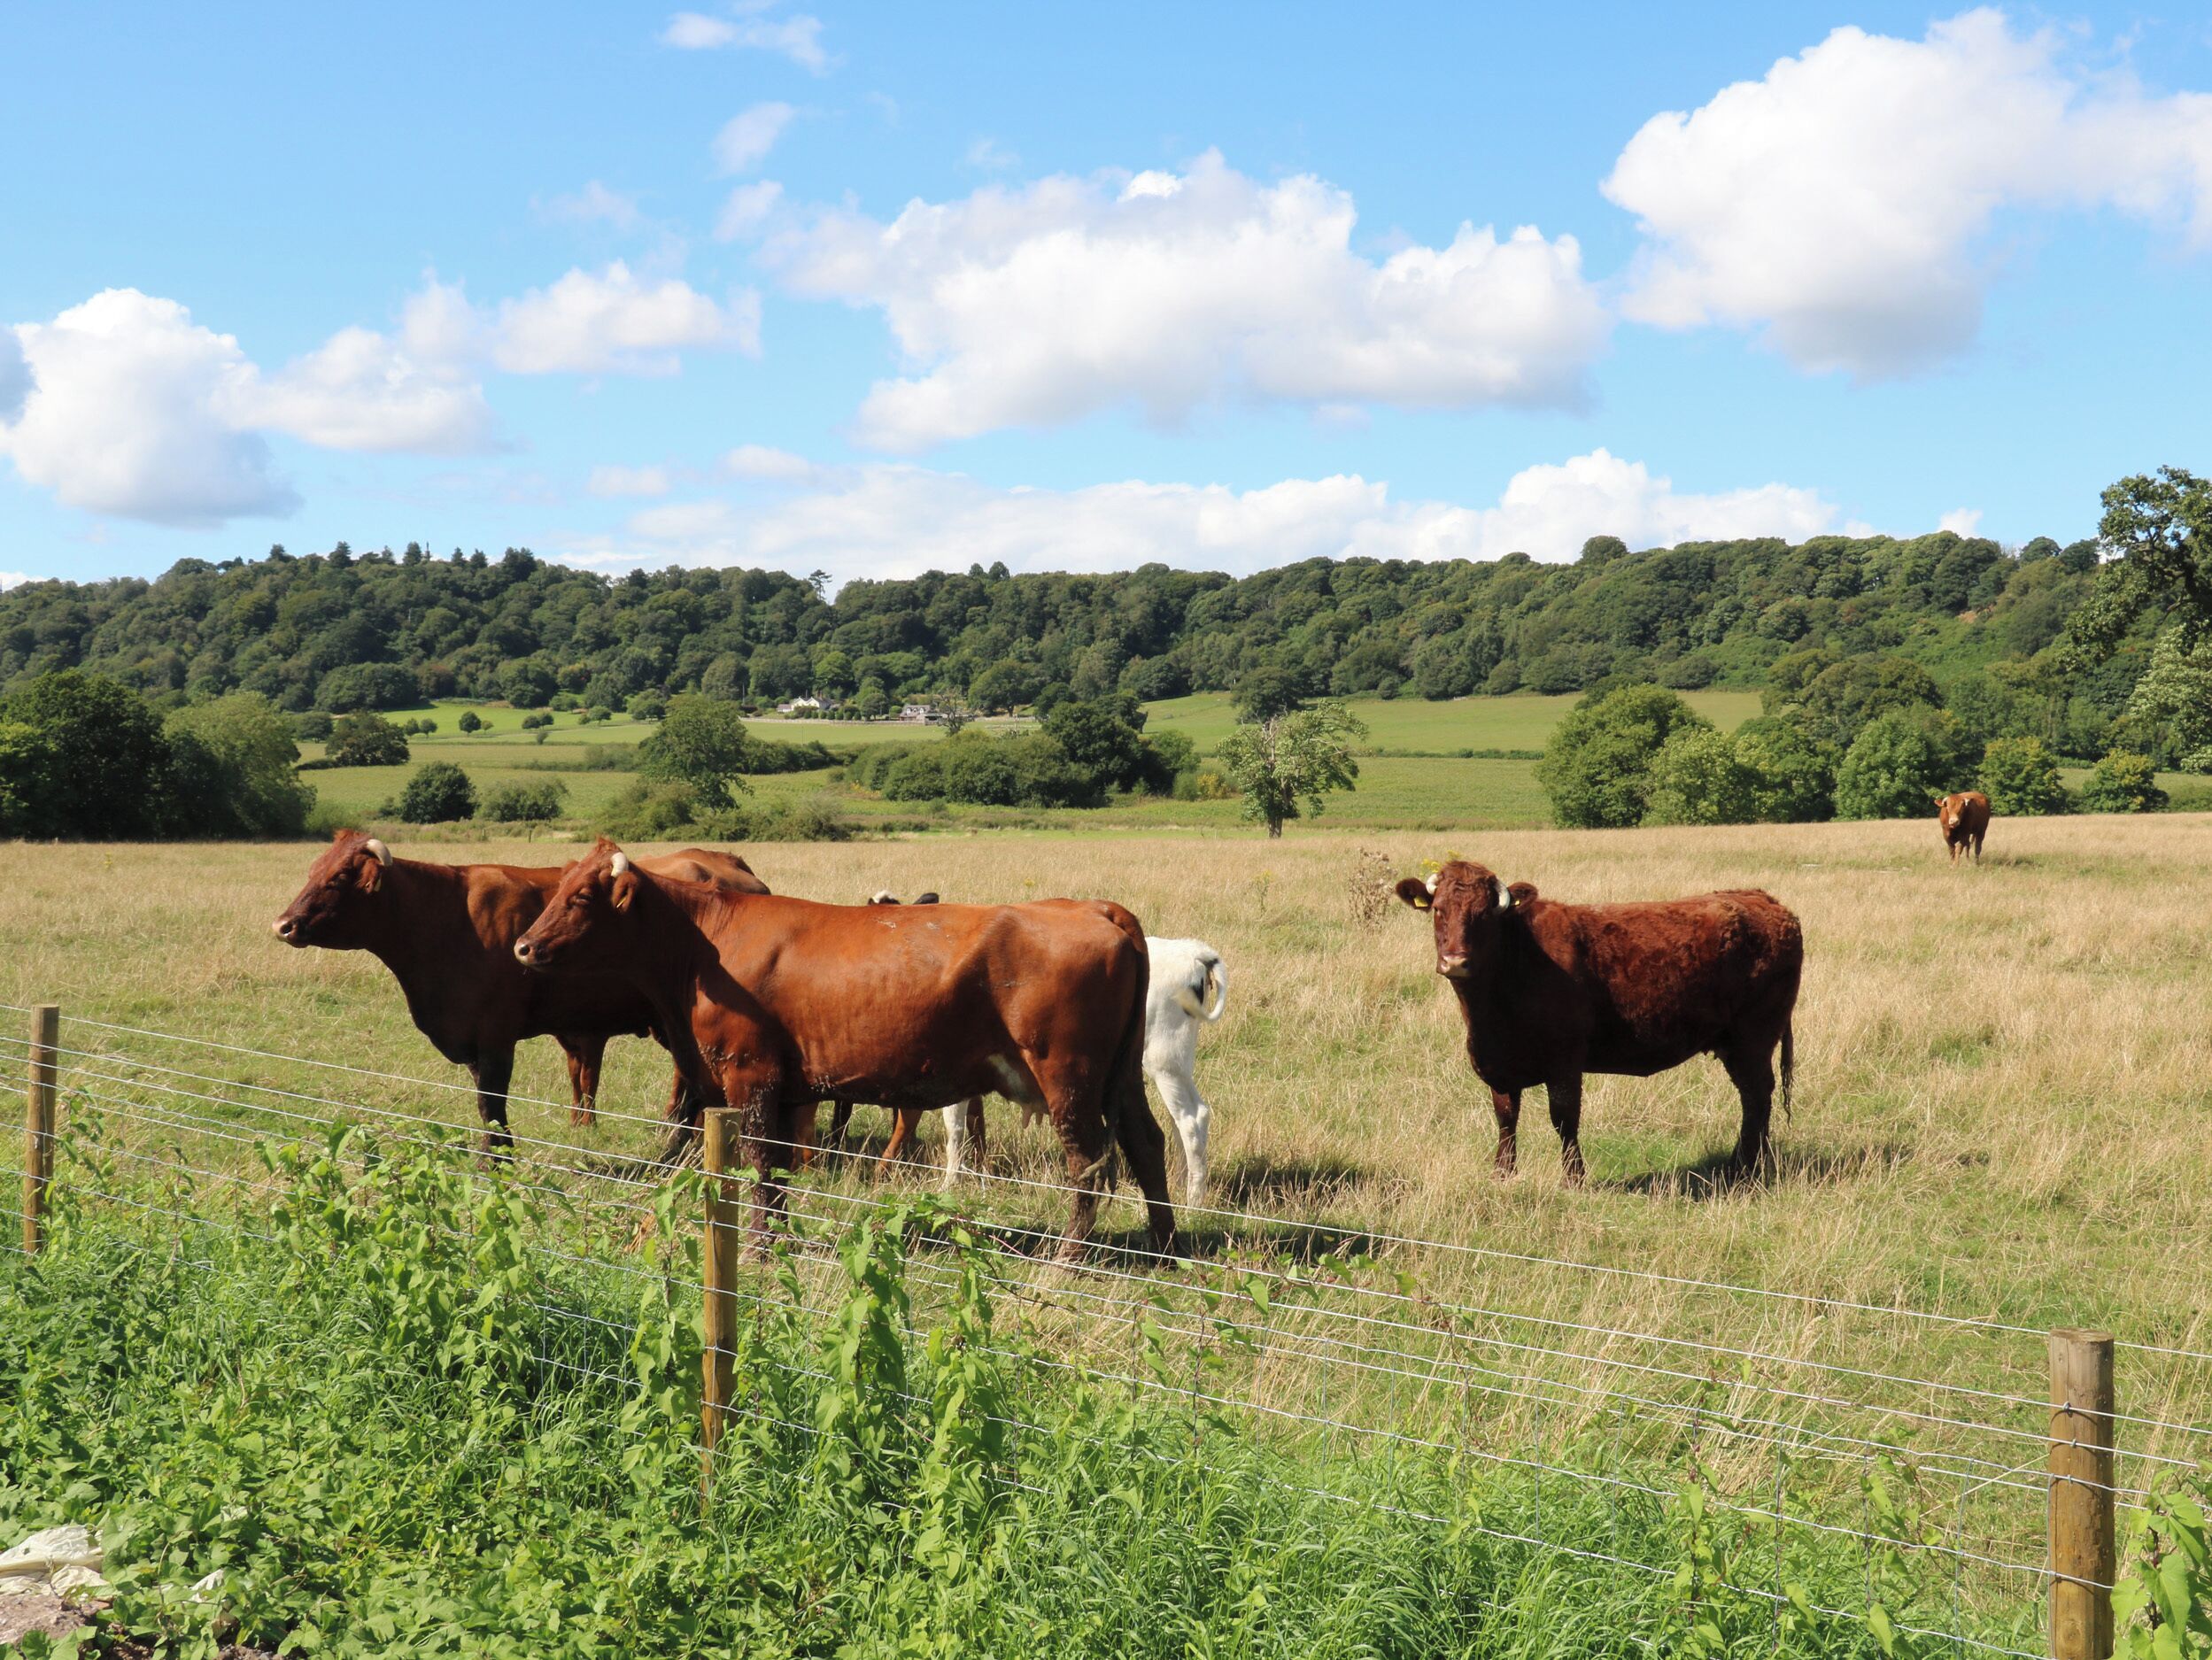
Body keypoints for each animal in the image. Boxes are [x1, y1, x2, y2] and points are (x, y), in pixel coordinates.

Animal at [272, 831, 768, 1153]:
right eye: (313, 871)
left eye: (339, 879)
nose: (283, 925)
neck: (446, 920)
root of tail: (731, 864)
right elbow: (488, 1102)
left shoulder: (495, 1036)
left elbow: (492, 1101)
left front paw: (498, 1158)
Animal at [510, 841, 1177, 1259]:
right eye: (557, 889)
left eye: (582, 898)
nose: (522, 947)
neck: (706, 946)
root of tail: (1093, 906)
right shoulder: (781, 1087)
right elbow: (777, 1167)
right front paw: (777, 1240)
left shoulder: (750, 1074)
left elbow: (759, 1162)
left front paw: (760, 1249)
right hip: (1119, 1076)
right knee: (1146, 1143)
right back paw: (1167, 1247)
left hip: (1068, 1075)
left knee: (1089, 1162)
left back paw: (1068, 1258)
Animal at [835, 897, 1229, 1205]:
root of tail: (1193, 953)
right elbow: (974, 1124)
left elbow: (954, 1126)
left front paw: (950, 1183)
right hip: (1169, 1066)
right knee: (1180, 1120)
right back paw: (1179, 1185)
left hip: (1164, 1061)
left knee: (1192, 1118)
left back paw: (1193, 1201)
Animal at [1396, 860, 1801, 1184]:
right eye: (1439, 910)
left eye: (1484, 915)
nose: (1455, 962)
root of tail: (1765, 900)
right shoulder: (1499, 1066)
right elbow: (1506, 1118)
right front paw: (1503, 1173)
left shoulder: (1564, 1062)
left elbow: (1563, 1119)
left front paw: (1573, 1178)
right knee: (1753, 1098)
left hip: (1754, 1038)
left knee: (1757, 1096)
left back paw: (1747, 1165)